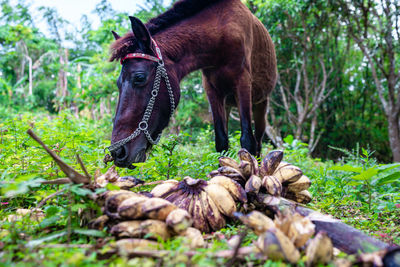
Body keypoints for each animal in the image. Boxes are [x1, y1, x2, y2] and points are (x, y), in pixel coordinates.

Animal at [107, 0, 276, 170]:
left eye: (139, 77)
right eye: (118, 83)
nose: (117, 152)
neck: (220, 33)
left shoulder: (242, 84)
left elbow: (247, 140)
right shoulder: (212, 90)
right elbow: (221, 141)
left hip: (261, 104)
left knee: (258, 142)